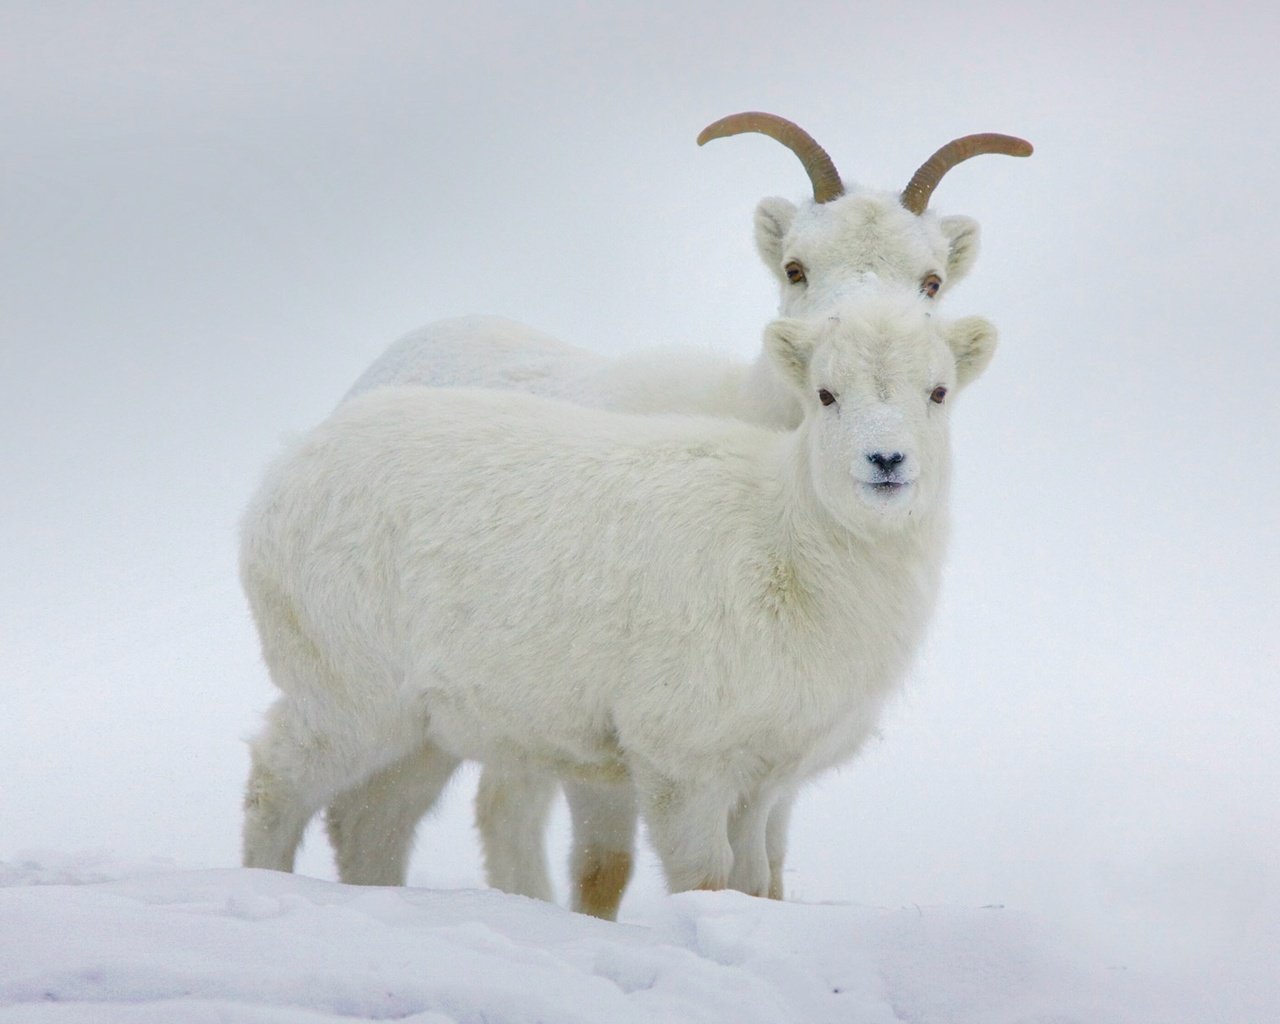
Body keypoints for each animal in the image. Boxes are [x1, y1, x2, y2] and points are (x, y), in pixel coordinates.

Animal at [241, 298, 998, 911]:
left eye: (938, 392)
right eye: (826, 393)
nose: (886, 460)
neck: (788, 543)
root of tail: (283, 472)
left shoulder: (761, 777)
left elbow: (753, 882)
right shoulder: (683, 760)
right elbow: (705, 878)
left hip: (423, 728)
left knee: (370, 823)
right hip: (346, 693)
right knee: (276, 781)